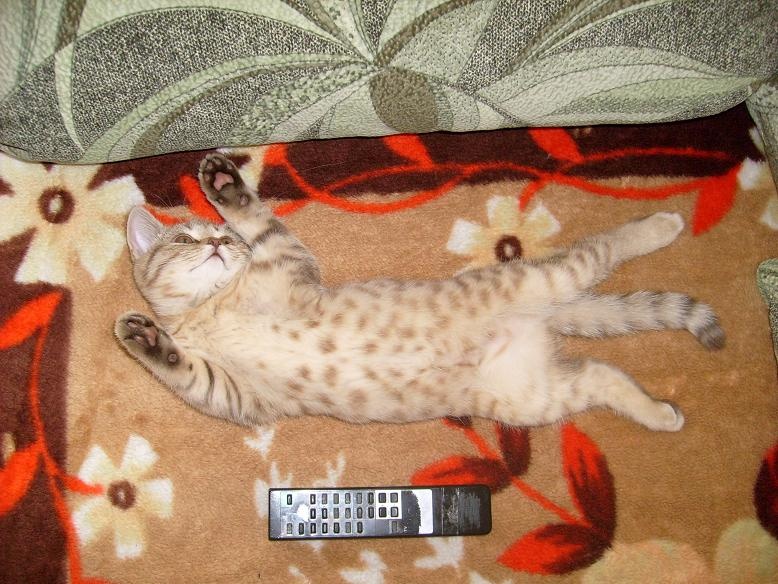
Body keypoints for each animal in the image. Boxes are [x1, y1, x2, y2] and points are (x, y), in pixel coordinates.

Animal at [115, 153, 724, 432]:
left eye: (225, 238)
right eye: (186, 238)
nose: (218, 243)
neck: (212, 310)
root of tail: (543, 315)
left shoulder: (285, 258)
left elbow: (256, 215)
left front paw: (223, 183)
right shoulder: (234, 393)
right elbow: (181, 364)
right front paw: (143, 335)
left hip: (548, 279)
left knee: (605, 248)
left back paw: (662, 224)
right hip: (534, 396)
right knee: (603, 374)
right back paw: (660, 413)